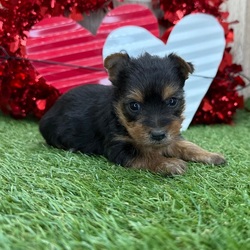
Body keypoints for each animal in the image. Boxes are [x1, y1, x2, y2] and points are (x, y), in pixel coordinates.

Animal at [39, 51, 227, 175]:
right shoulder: (118, 146)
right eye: (134, 106)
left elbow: (186, 145)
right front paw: (168, 163)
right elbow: (145, 154)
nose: (158, 135)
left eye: (172, 101)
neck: (119, 116)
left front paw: (210, 155)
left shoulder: (171, 135)